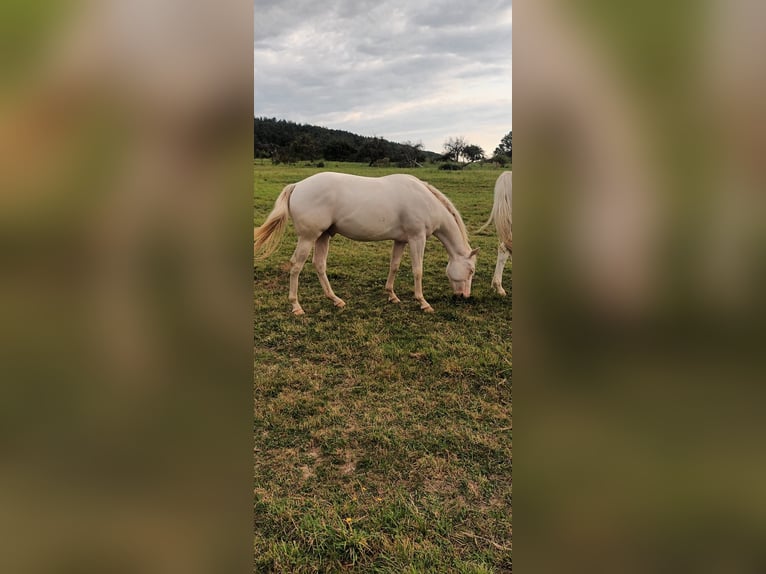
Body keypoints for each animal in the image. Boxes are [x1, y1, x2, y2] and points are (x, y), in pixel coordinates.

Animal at [255, 172, 476, 316]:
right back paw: (296, 306)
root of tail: (298, 185)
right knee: (296, 266)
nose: (464, 296)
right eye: (472, 270)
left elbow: (394, 266)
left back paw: (335, 300)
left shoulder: (400, 240)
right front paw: (423, 302)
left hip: (323, 236)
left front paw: (392, 295)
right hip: (308, 237)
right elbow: (417, 270)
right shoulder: (417, 238)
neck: (425, 200)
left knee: (319, 265)